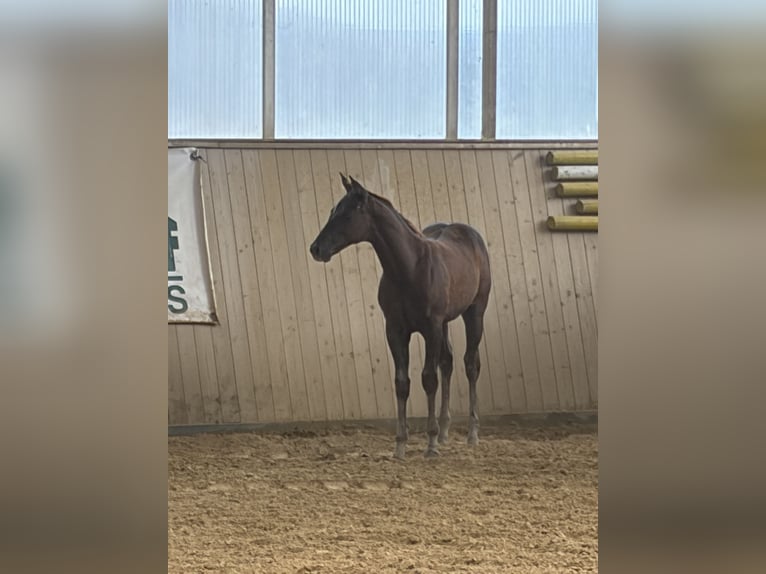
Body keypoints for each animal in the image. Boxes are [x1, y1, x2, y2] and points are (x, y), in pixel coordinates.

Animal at [309, 174, 491, 459]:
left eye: (347, 215)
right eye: (332, 211)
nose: (316, 248)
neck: (410, 268)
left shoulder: (430, 328)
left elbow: (428, 379)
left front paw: (430, 445)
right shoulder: (395, 330)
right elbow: (402, 382)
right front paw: (401, 445)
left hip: (474, 313)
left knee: (470, 364)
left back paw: (471, 434)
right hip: (446, 323)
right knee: (448, 363)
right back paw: (444, 431)